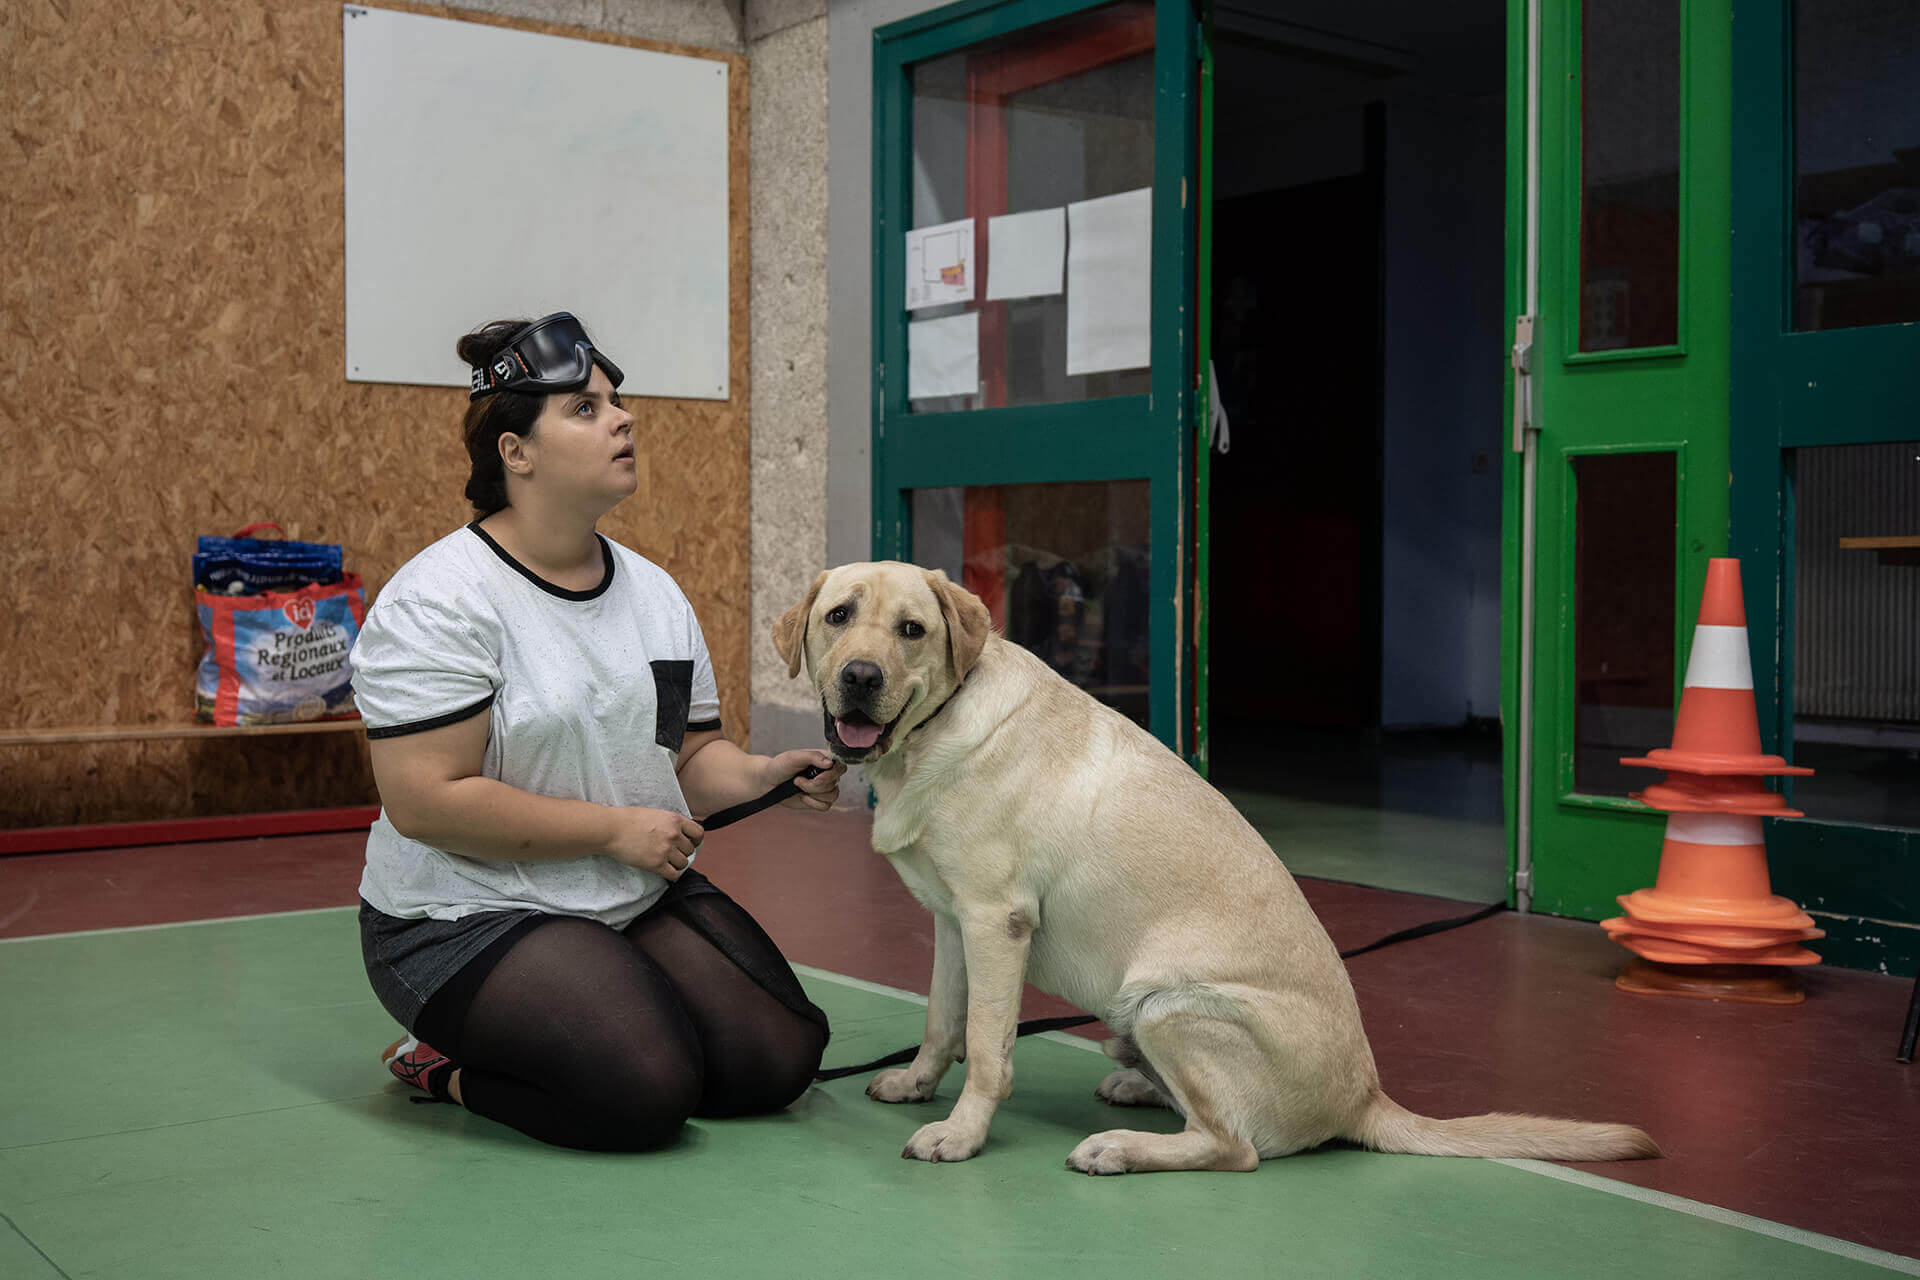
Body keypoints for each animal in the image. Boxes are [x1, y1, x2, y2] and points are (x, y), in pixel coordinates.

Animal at [771, 560, 1658, 1174]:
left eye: (912, 630)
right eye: (839, 617)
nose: (860, 678)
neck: (933, 732)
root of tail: (1366, 1098)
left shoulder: (997, 923)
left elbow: (989, 1049)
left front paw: (961, 1133)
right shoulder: (954, 924)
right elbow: (942, 1022)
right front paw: (917, 1084)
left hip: (1171, 1003)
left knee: (1235, 1147)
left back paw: (1118, 1147)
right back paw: (1134, 1087)